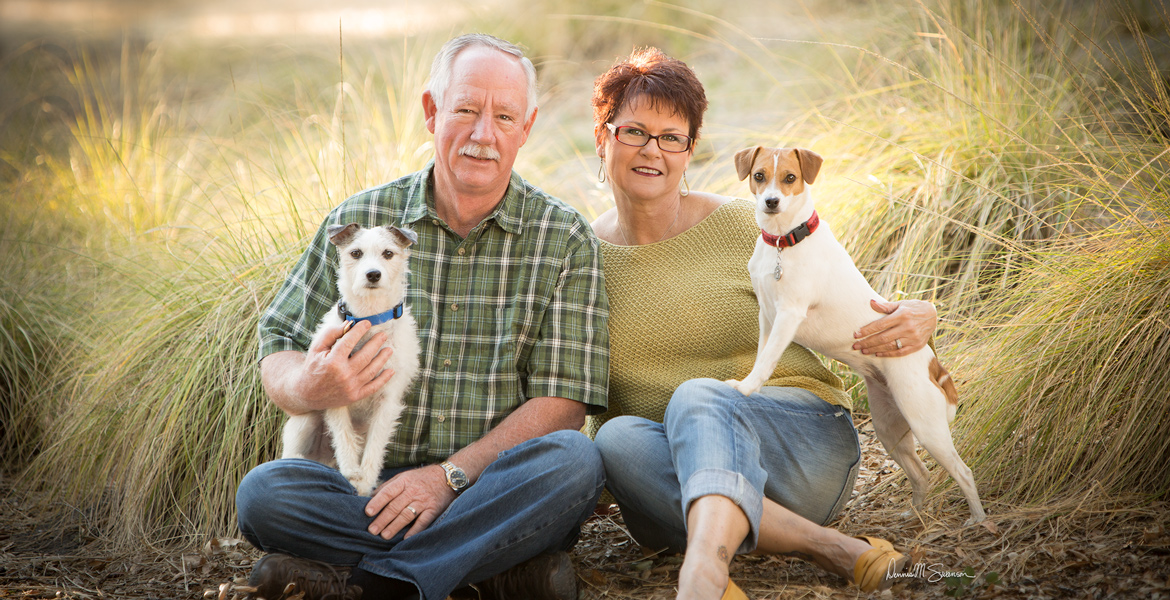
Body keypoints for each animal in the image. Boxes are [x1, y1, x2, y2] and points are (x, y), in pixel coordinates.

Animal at [280, 222, 423, 493]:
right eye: (356, 253)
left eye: (388, 253)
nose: (373, 274)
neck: (369, 318)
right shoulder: (334, 388)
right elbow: (344, 435)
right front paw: (350, 473)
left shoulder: (387, 400)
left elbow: (375, 447)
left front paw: (365, 484)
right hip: (305, 418)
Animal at [725, 146, 982, 523]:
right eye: (759, 176)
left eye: (790, 177)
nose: (771, 202)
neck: (784, 242)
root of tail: (936, 367)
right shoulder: (767, 316)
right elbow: (761, 356)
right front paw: (751, 384)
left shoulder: (789, 314)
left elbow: (768, 359)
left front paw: (745, 388)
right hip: (889, 429)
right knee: (921, 473)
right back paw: (914, 516)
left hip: (927, 427)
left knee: (962, 472)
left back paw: (979, 520)